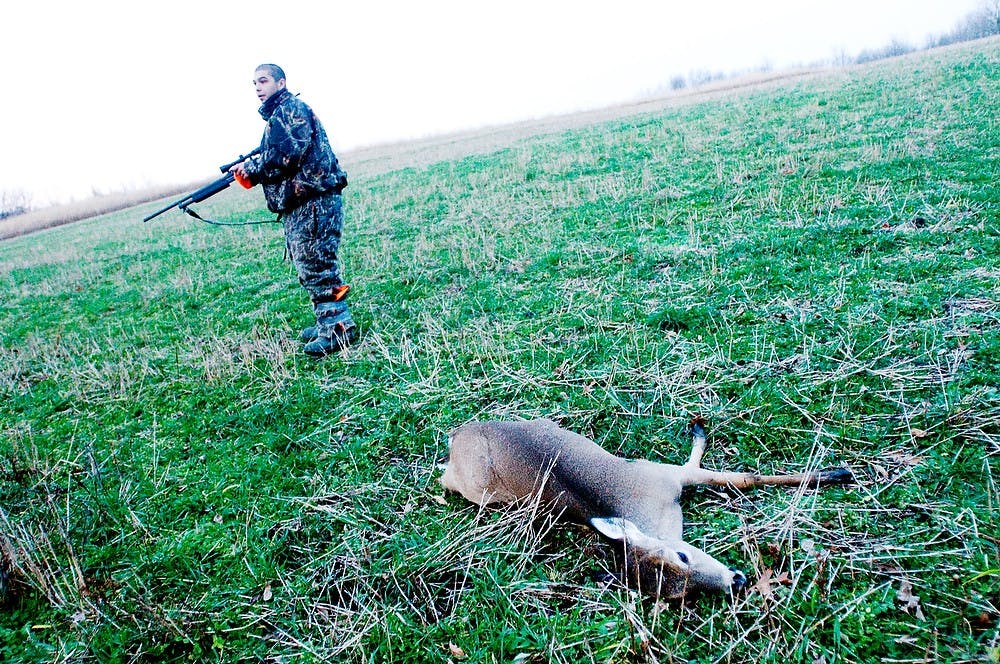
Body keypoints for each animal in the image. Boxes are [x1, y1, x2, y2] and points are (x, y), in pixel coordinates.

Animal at [444, 418, 852, 600]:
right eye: (679, 594)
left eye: (683, 556)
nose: (737, 581)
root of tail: (455, 438)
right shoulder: (669, 476)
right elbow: (739, 478)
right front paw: (837, 472)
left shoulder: (664, 474)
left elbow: (741, 477)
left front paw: (839, 472)